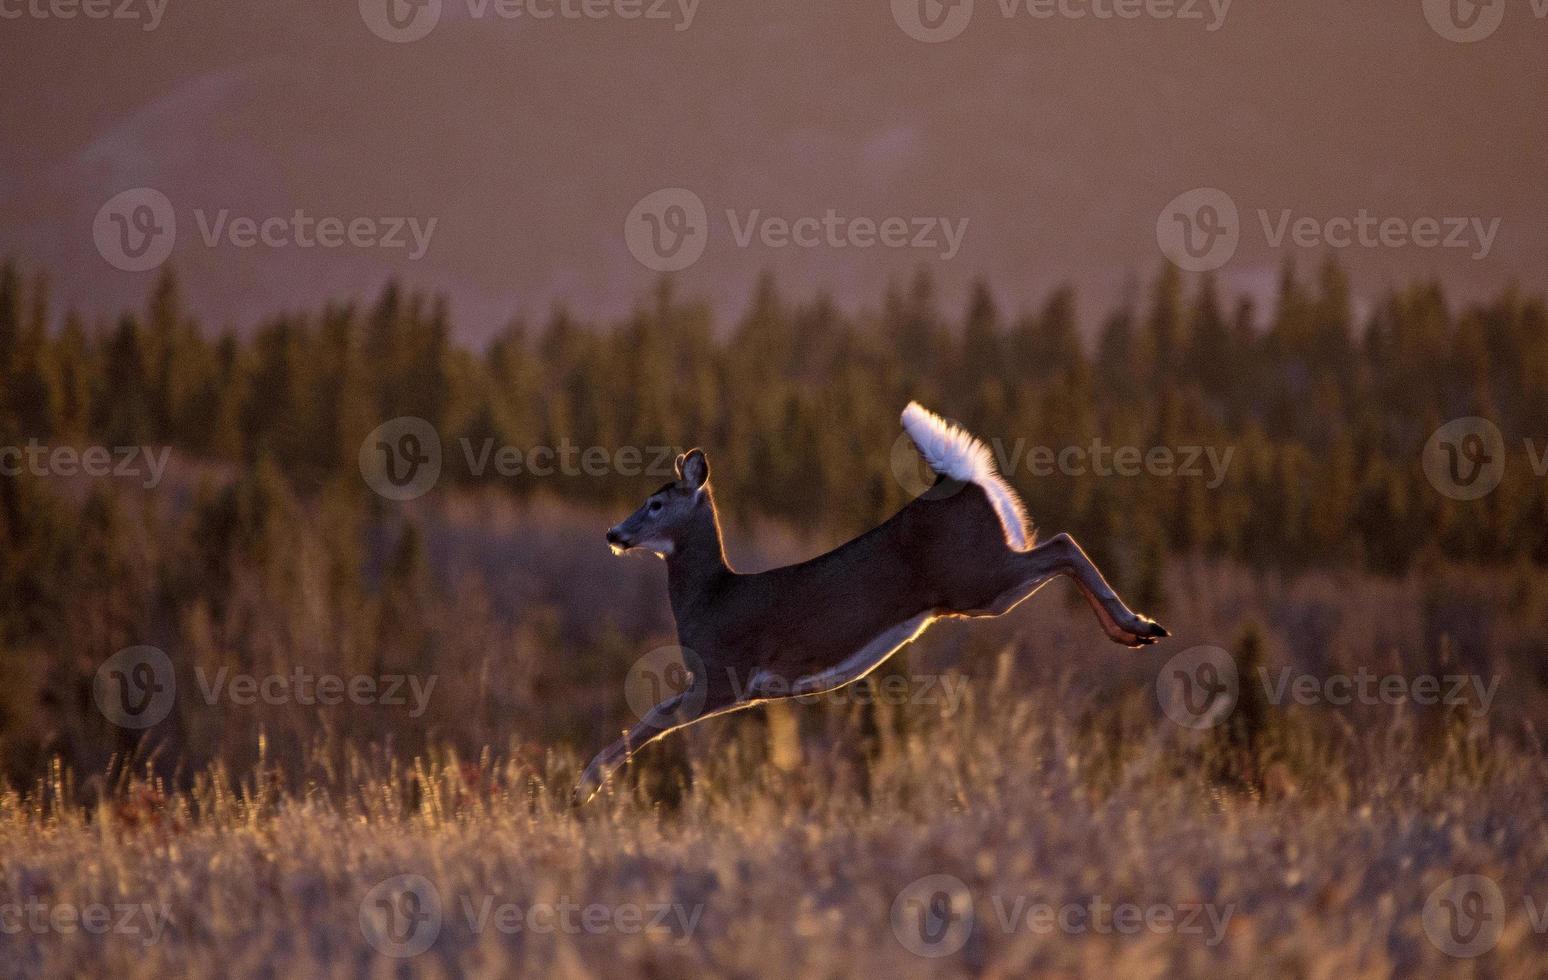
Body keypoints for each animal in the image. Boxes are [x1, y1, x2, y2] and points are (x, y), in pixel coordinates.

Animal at [575, 399, 1164, 805]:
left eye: (654, 504)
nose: (613, 533)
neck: (710, 597)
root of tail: (955, 479)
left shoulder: (723, 674)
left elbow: (651, 719)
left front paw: (587, 784)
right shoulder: (736, 687)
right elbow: (651, 720)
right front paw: (589, 783)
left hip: (977, 577)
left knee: (1062, 544)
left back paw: (1139, 624)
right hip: (978, 586)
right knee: (1059, 547)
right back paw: (1134, 632)